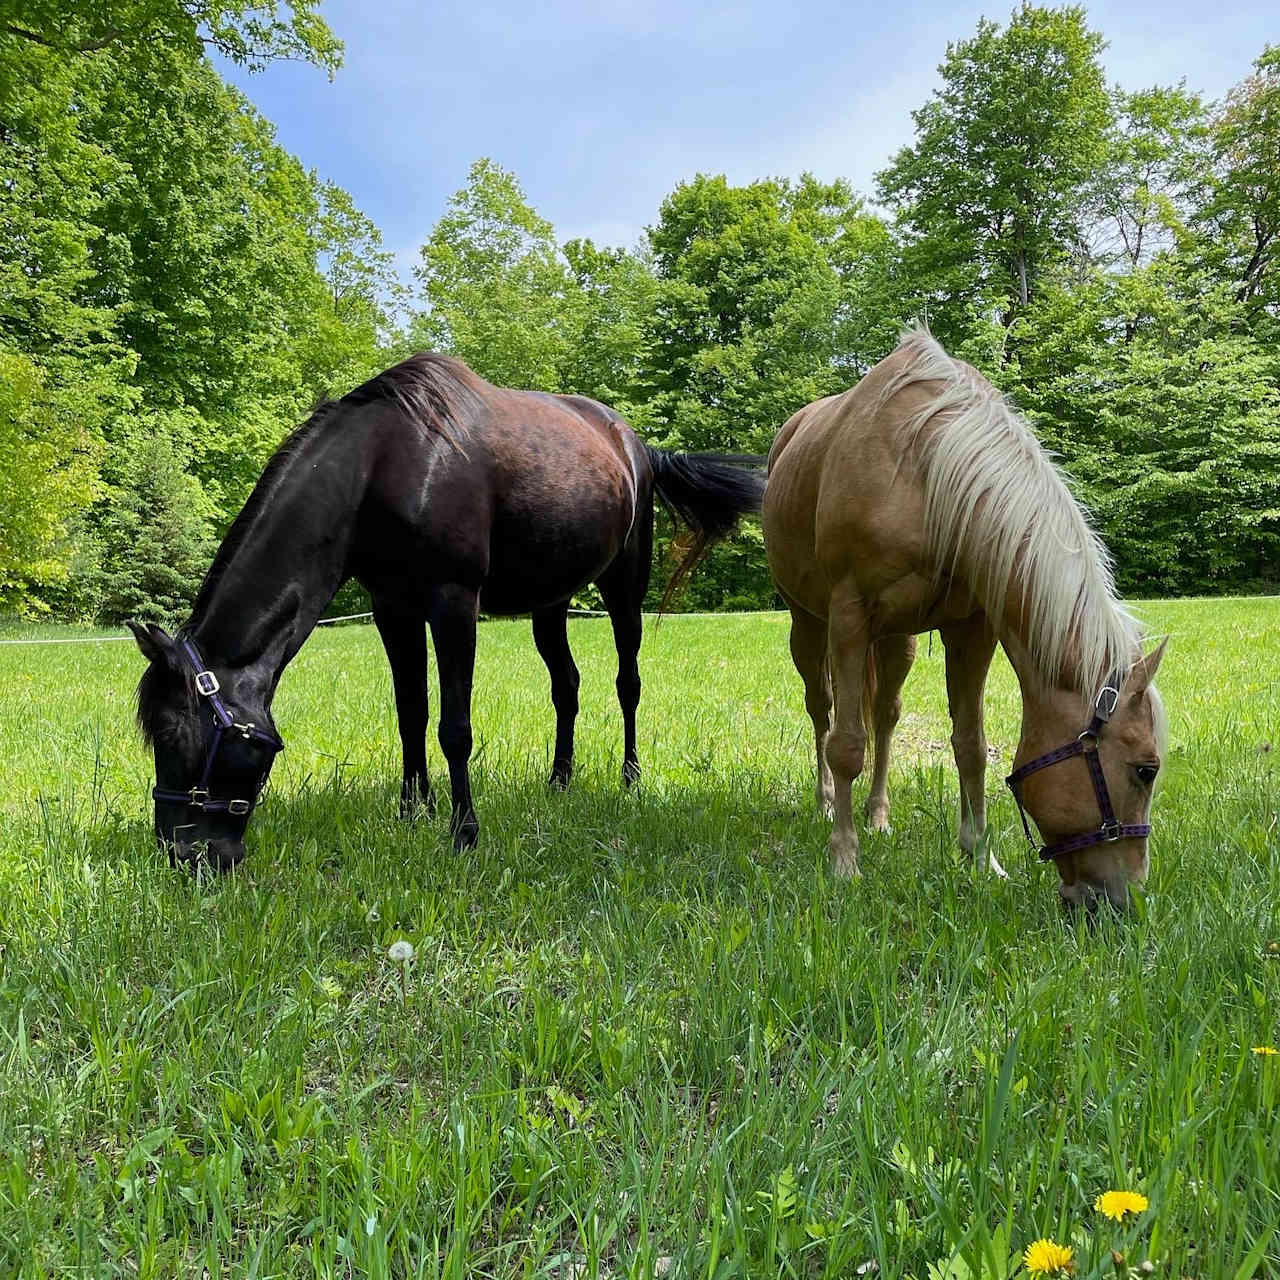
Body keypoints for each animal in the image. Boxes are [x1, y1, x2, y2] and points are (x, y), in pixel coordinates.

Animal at [129, 353, 762, 870]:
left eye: (173, 732)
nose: (183, 853)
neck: (385, 467)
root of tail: (635, 445)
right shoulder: (393, 608)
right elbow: (411, 712)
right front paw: (413, 812)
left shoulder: (454, 603)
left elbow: (454, 727)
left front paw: (464, 832)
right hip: (550, 605)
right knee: (567, 685)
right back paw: (559, 781)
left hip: (623, 586)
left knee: (627, 682)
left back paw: (630, 779)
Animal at [757, 330, 1172, 911]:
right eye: (1144, 770)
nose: (1121, 901)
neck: (925, 472)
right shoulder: (848, 615)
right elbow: (846, 745)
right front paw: (844, 862)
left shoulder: (973, 628)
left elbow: (970, 745)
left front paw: (980, 857)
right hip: (809, 624)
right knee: (823, 710)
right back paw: (825, 804)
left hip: (898, 640)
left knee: (885, 715)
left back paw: (878, 814)